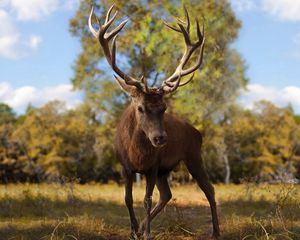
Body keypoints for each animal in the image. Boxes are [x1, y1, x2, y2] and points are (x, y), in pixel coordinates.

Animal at [88, 3, 220, 240]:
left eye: (164, 108)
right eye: (141, 107)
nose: (160, 138)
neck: (137, 155)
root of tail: (197, 132)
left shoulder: (153, 166)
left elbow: (146, 200)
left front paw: (147, 233)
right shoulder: (126, 166)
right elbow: (128, 198)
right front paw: (134, 230)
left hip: (193, 155)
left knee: (209, 188)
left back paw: (215, 231)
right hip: (165, 170)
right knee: (167, 194)